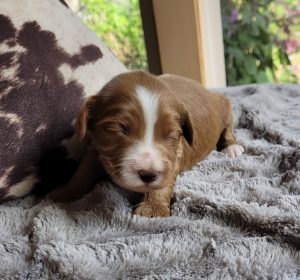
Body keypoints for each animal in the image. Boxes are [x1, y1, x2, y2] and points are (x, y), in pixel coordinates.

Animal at [47, 71, 244, 218]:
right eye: (120, 130)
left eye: (170, 135)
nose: (148, 174)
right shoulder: (96, 148)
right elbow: (82, 173)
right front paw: (65, 192)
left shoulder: (174, 154)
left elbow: (165, 179)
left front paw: (153, 207)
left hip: (226, 108)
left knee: (228, 129)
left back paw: (232, 147)